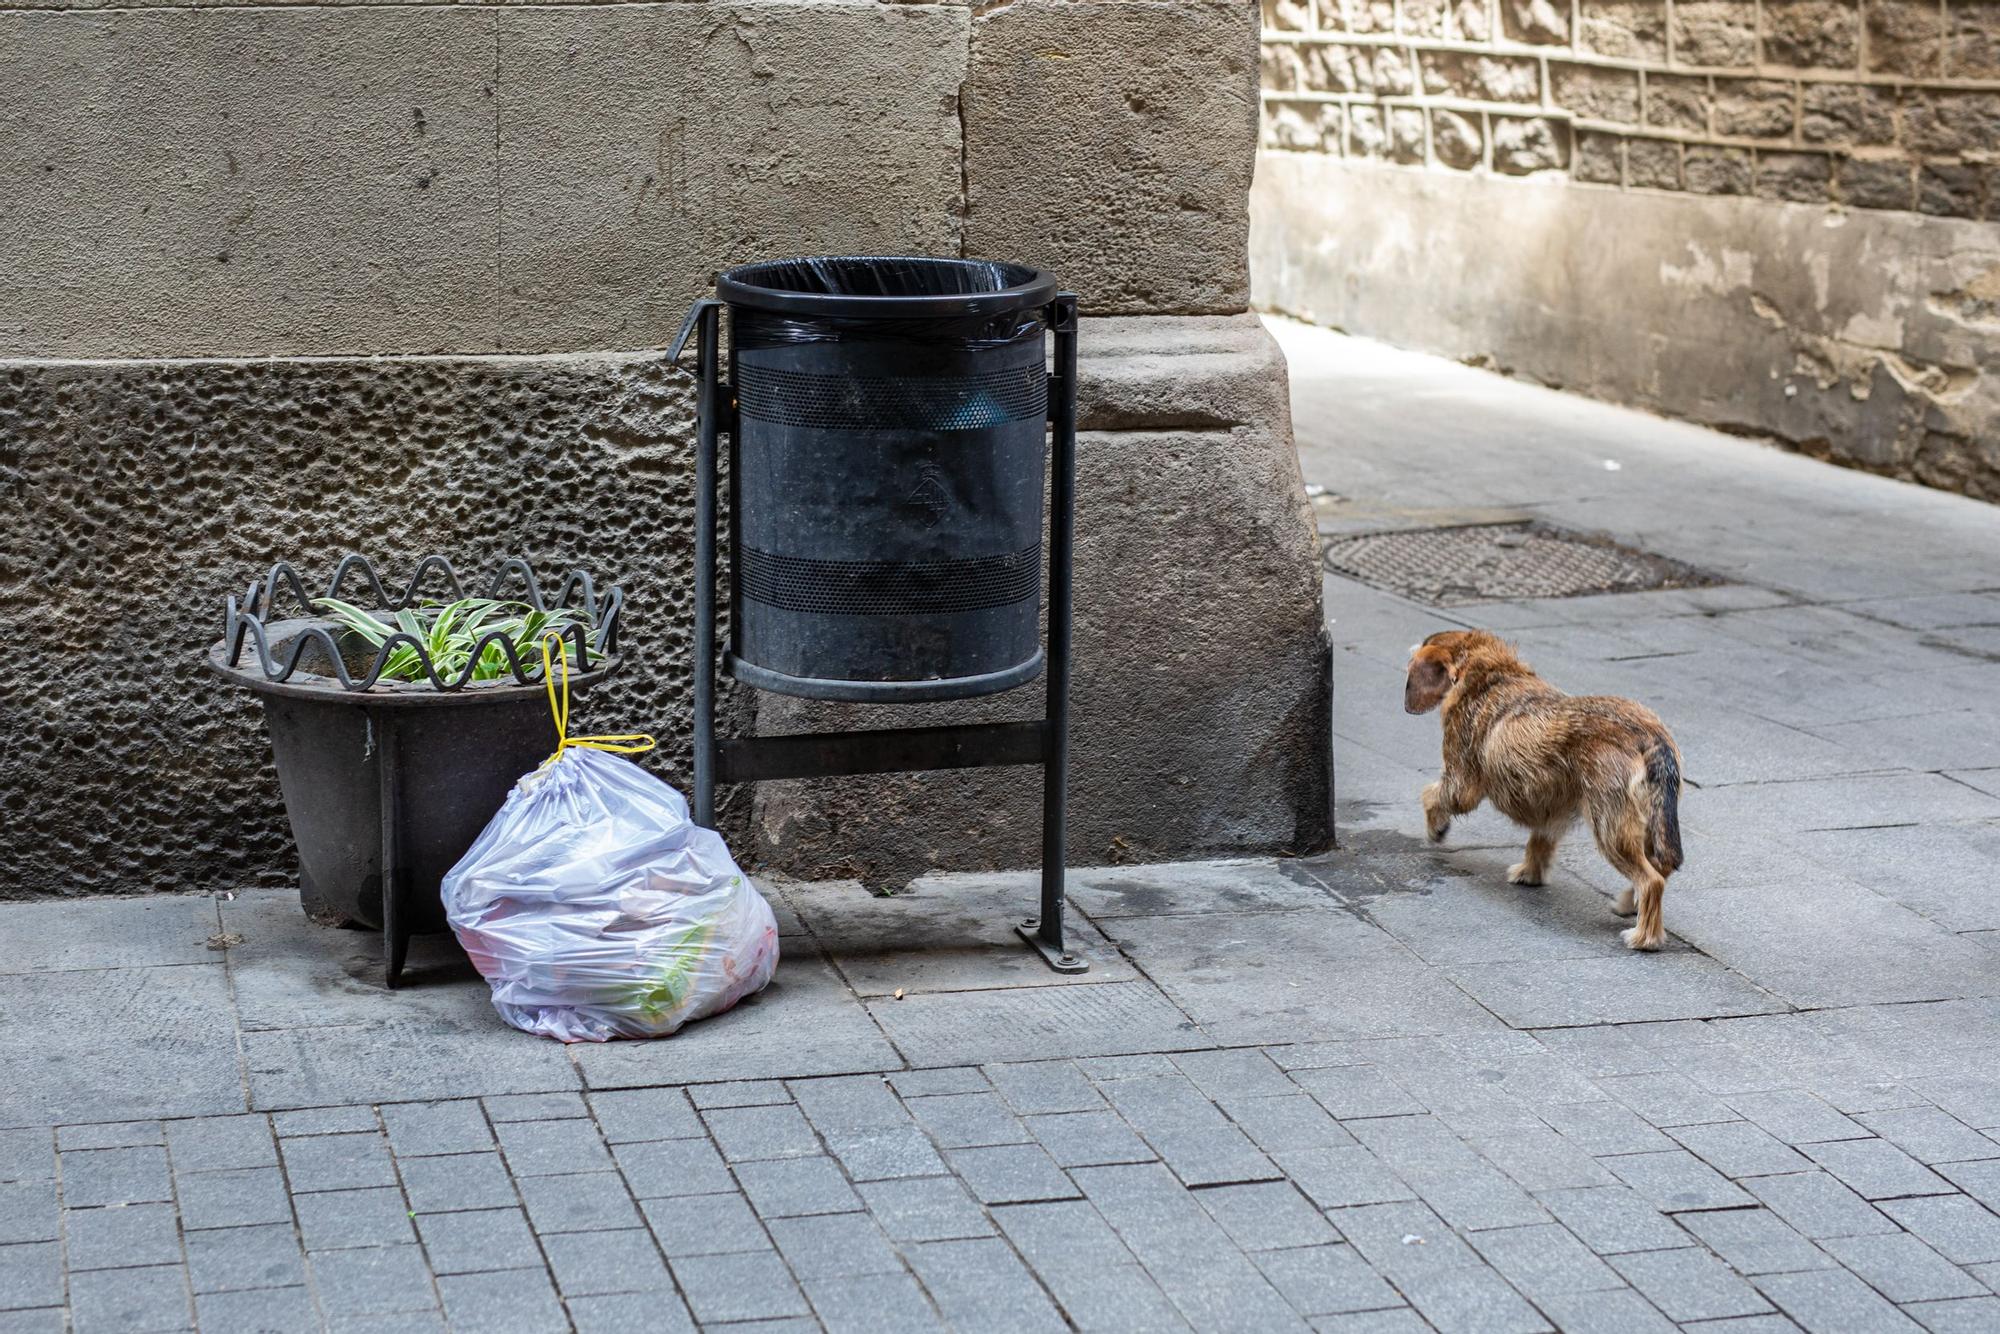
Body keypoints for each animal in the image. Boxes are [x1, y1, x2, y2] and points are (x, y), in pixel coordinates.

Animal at [1408, 636, 1688, 948]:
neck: (1495, 674)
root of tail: (1651, 737)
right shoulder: (1552, 805)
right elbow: (1540, 840)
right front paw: (1530, 873)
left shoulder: (1460, 783)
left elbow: (1433, 795)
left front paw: (1435, 827)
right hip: (1652, 824)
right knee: (1659, 867)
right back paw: (1629, 903)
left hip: (1611, 827)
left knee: (1652, 880)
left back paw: (1643, 937)